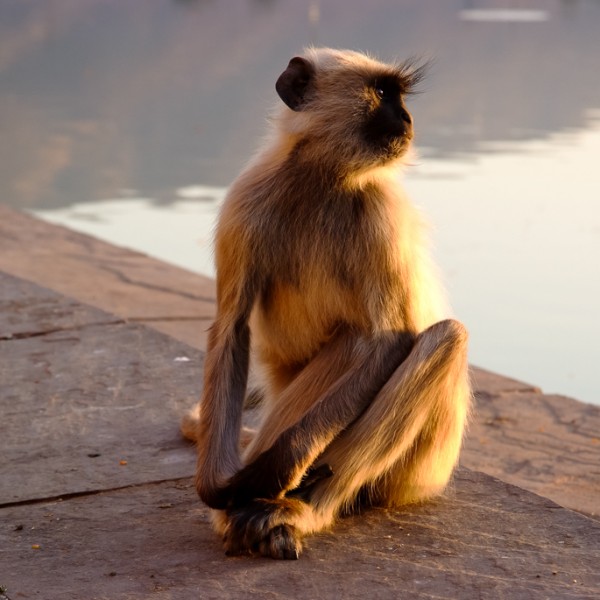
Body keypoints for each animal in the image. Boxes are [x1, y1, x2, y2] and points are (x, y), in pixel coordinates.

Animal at [180, 47, 472, 556]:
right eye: (382, 93)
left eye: (396, 95)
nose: (407, 119)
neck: (322, 178)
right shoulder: (245, 200)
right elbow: (231, 327)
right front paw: (217, 485)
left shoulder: (379, 210)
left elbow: (389, 341)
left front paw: (270, 473)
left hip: (422, 469)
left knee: (436, 338)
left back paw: (302, 508)